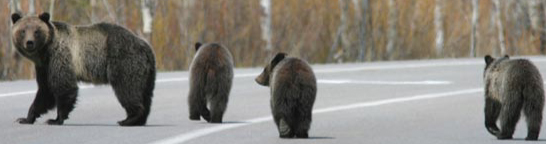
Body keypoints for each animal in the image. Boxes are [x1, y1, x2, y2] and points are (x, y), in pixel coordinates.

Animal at [10, 13, 155, 126]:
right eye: (22, 31)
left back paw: (128, 119)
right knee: (145, 94)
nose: (29, 43)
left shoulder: (60, 57)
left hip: (123, 61)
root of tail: (145, 46)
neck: (45, 52)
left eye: (36, 31)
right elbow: (45, 91)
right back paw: (140, 119)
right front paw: (25, 118)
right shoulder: (44, 67)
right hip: (146, 72)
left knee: (127, 89)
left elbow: (64, 87)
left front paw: (55, 119)